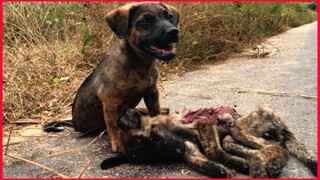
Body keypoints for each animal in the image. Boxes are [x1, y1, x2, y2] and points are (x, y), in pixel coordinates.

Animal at [43, 2, 179, 152]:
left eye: (169, 17)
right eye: (145, 21)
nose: (174, 31)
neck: (140, 64)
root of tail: (72, 122)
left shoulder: (152, 92)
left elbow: (155, 111)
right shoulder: (111, 102)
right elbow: (113, 125)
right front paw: (117, 142)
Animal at [101, 106, 316, 178]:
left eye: (155, 137)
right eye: (153, 157)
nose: (178, 152)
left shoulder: (204, 125)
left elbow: (212, 151)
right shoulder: (190, 151)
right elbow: (201, 162)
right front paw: (221, 169)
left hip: (239, 129)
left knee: (276, 148)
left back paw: (263, 167)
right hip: (231, 138)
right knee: (263, 152)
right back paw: (260, 165)